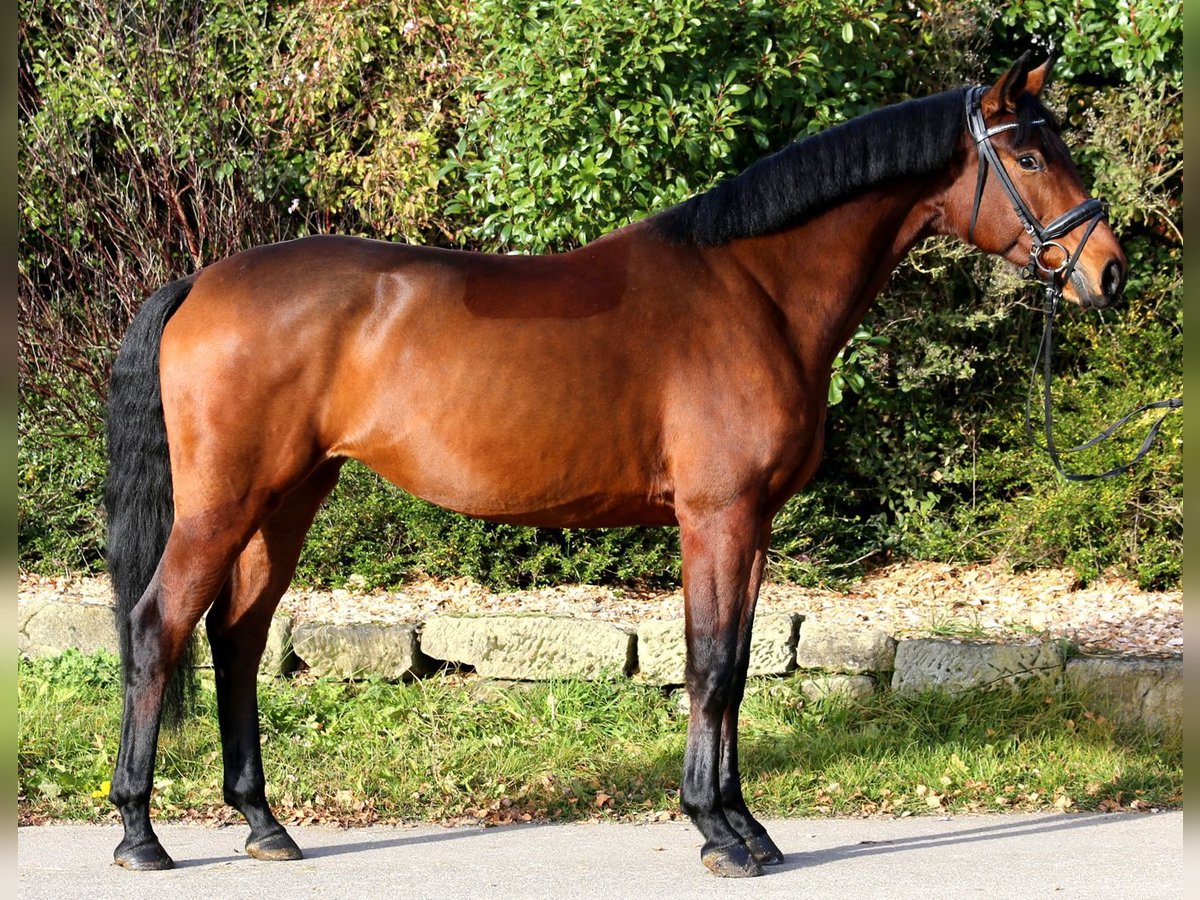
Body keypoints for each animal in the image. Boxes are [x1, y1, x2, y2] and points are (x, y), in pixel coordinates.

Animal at [105, 53, 1124, 877]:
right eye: (1030, 158)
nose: (1108, 270)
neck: (756, 290)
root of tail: (200, 281)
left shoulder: (750, 524)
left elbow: (737, 663)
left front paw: (746, 827)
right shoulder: (717, 515)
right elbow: (710, 665)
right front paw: (717, 832)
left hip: (290, 496)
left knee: (238, 636)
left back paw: (263, 824)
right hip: (225, 501)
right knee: (158, 626)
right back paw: (140, 834)